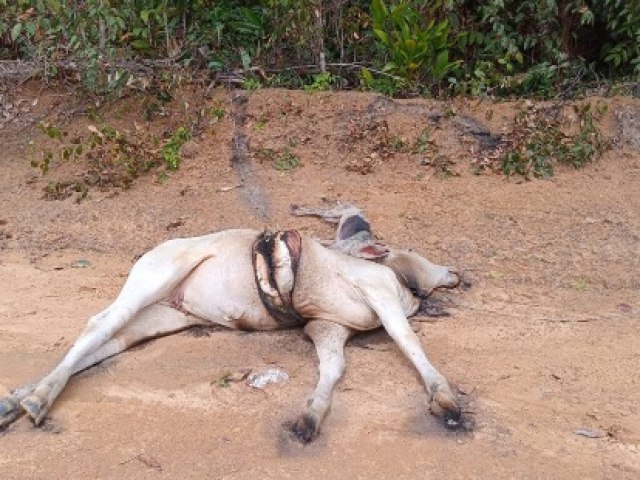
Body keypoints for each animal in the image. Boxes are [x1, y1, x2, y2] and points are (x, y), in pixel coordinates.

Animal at [0, 204, 460, 440]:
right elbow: (408, 340)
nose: (456, 273)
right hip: (155, 277)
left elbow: (333, 369)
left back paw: (17, 400)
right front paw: (446, 400)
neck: (400, 280)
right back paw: (36, 401)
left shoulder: (328, 328)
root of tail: (157, 249)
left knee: (108, 342)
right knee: (99, 323)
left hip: (163, 316)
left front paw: (310, 417)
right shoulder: (376, 296)